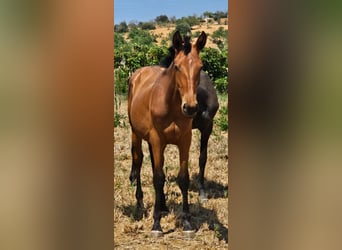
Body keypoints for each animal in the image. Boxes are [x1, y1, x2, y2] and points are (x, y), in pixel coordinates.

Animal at [127, 31, 206, 236]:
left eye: (201, 67)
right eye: (177, 67)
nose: (190, 107)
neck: (171, 105)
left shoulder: (185, 140)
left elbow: (183, 178)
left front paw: (187, 222)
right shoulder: (157, 139)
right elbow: (158, 178)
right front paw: (156, 224)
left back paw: (162, 205)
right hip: (136, 134)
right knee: (138, 160)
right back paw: (140, 202)